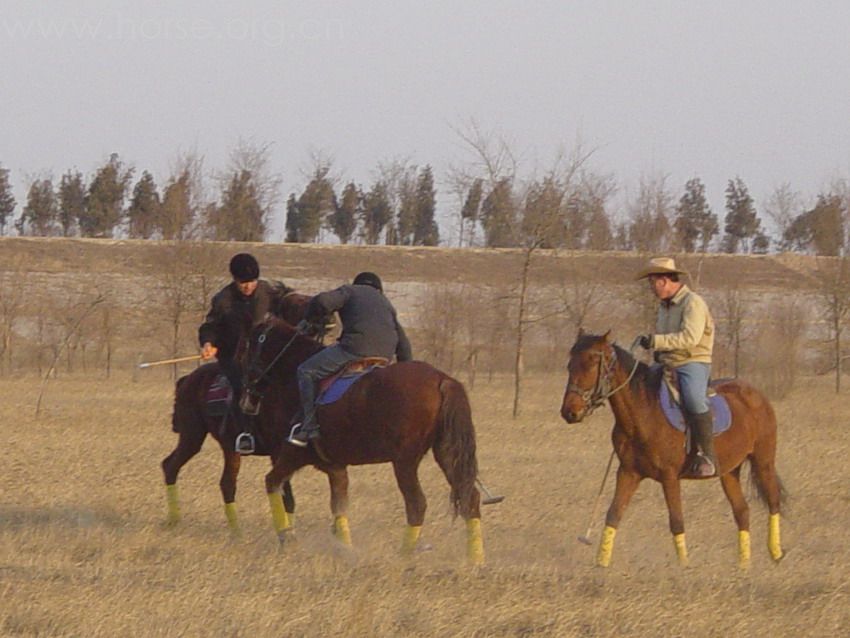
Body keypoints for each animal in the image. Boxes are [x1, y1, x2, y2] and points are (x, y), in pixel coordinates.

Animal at [158, 292, 318, 532]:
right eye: (299, 303)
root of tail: (187, 380)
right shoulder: (277, 449)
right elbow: (286, 495)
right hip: (192, 436)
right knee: (173, 467)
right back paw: (179, 520)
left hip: (226, 446)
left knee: (225, 483)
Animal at [238, 318, 484, 564]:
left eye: (249, 346)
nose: (247, 400)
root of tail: (443, 380)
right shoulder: (335, 468)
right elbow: (339, 509)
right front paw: (344, 551)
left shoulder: (292, 456)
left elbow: (272, 483)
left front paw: (286, 538)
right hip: (447, 454)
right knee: (470, 498)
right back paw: (475, 560)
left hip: (405, 462)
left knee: (417, 504)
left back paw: (403, 557)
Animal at [560, 332, 784, 568]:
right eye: (570, 365)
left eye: (593, 362)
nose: (570, 412)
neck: (644, 414)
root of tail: (757, 395)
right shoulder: (628, 472)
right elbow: (614, 514)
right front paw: (601, 565)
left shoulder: (669, 477)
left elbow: (676, 522)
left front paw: (684, 568)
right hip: (729, 471)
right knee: (742, 511)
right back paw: (743, 565)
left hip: (763, 461)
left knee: (773, 501)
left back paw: (776, 552)